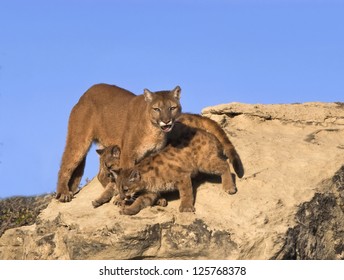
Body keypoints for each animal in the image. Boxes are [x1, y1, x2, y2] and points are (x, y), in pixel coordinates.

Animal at [56, 82, 243, 202]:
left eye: (172, 108)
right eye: (156, 109)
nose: (167, 121)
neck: (154, 131)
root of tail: (86, 93)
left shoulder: (153, 153)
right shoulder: (128, 154)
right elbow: (125, 175)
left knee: (100, 173)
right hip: (78, 140)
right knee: (66, 164)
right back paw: (63, 193)